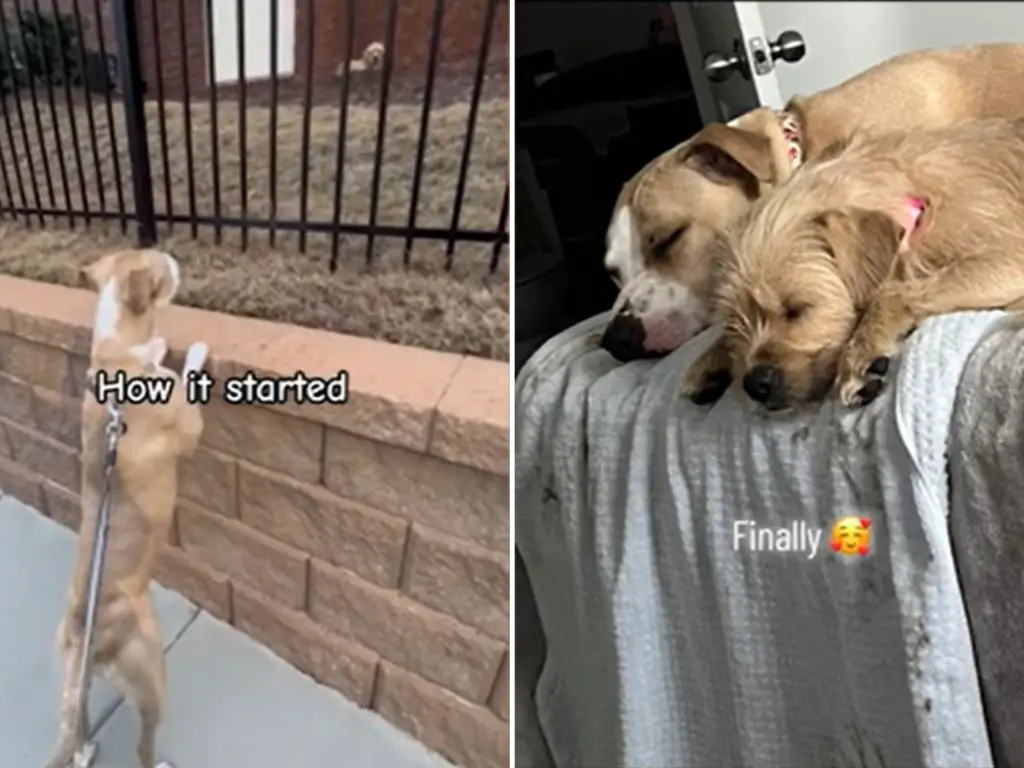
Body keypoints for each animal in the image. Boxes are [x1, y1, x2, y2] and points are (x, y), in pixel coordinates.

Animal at [46, 250, 207, 768]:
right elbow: (190, 380)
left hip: (75, 684)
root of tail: (88, 638)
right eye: (160, 266)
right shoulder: (189, 423)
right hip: (152, 673)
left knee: (76, 725)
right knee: (143, 745)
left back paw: (83, 749)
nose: (177, 256)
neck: (118, 348)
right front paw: (191, 350)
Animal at [679, 115, 1024, 411]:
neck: (912, 203)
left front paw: (862, 351)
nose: (755, 384)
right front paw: (711, 359)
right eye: (733, 324)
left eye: (796, 309)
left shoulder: (1011, 259)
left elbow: (892, 293)